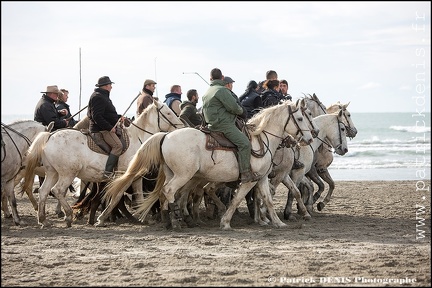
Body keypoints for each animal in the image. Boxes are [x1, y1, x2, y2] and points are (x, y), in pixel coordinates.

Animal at [21, 100, 184, 228]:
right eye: (168, 113)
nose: (182, 126)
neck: (138, 139)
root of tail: (50, 135)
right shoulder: (124, 177)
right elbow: (117, 196)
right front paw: (102, 218)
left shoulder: (136, 178)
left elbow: (139, 197)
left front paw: (142, 217)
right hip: (67, 174)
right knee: (58, 191)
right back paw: (68, 216)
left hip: (52, 173)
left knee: (43, 191)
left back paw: (43, 220)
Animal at [98, 99, 314, 230]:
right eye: (300, 118)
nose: (310, 138)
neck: (261, 138)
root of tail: (165, 135)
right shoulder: (249, 180)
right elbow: (237, 200)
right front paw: (225, 222)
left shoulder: (260, 178)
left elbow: (268, 200)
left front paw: (277, 222)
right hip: (183, 175)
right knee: (170, 191)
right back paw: (177, 221)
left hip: (171, 173)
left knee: (163, 193)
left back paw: (168, 220)